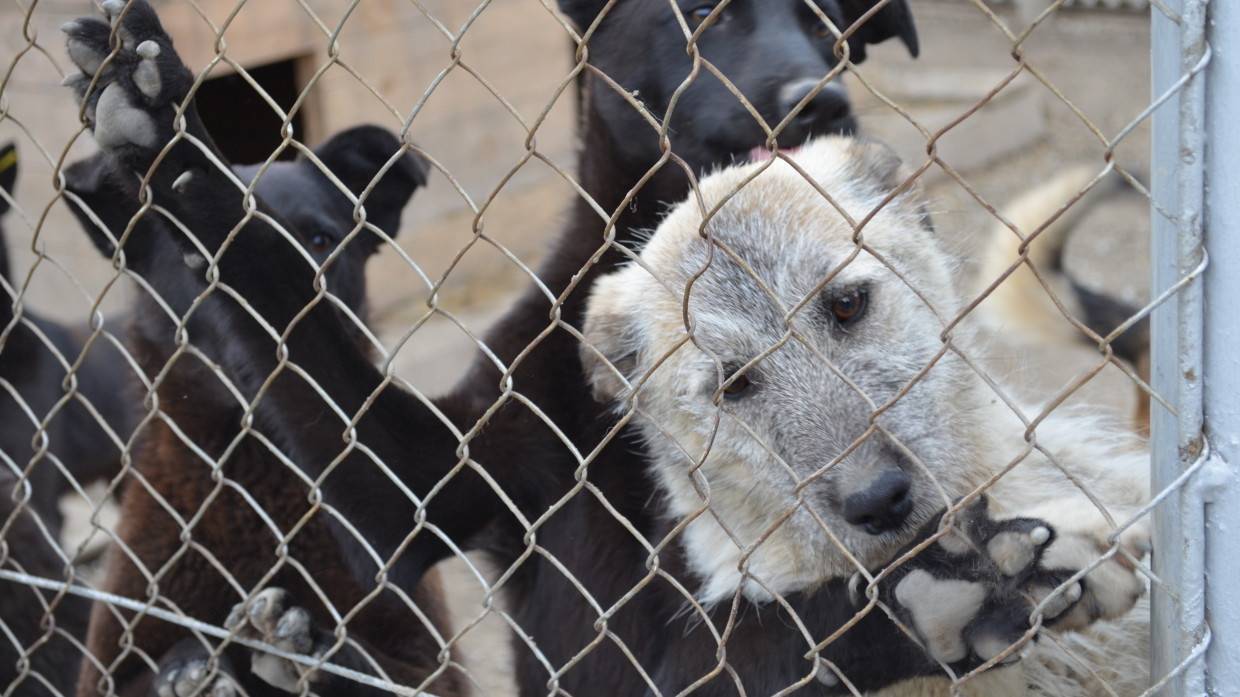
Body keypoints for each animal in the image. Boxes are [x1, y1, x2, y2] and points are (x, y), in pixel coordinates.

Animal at [58, 2, 1061, 689]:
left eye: (829, 24)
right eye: (699, 13)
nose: (817, 100)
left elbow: (776, 630)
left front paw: (944, 595)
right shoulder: (425, 484)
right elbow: (285, 312)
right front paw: (163, 127)